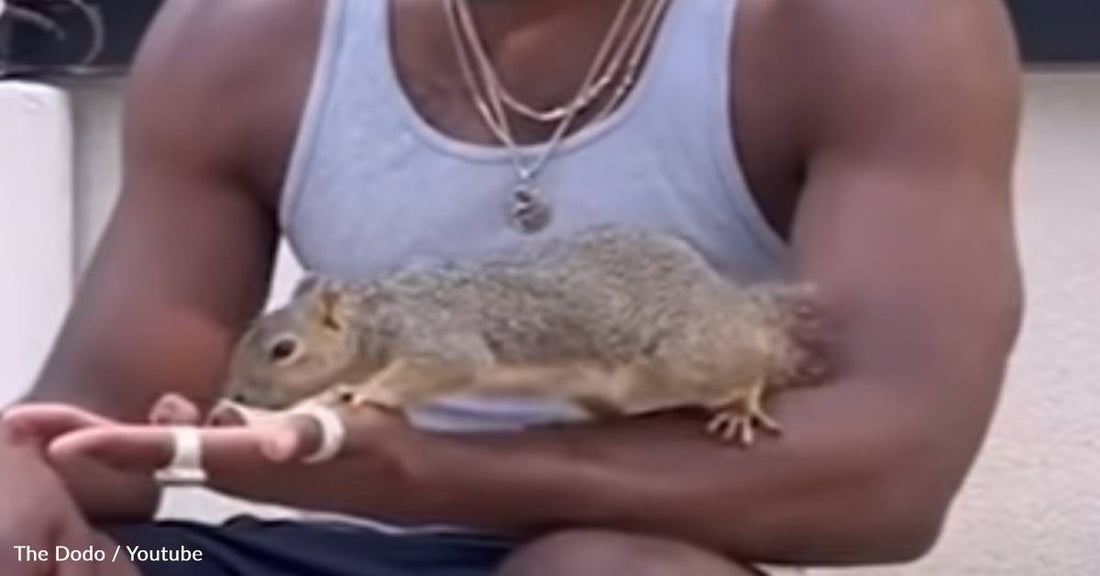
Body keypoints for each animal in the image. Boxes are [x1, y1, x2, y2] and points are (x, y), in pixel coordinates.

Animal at [222, 226, 831, 445]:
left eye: (284, 349)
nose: (239, 395)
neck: (380, 315)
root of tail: (733, 303)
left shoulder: (441, 335)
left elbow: (443, 367)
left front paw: (365, 391)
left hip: (694, 356)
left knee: (748, 365)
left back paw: (742, 405)